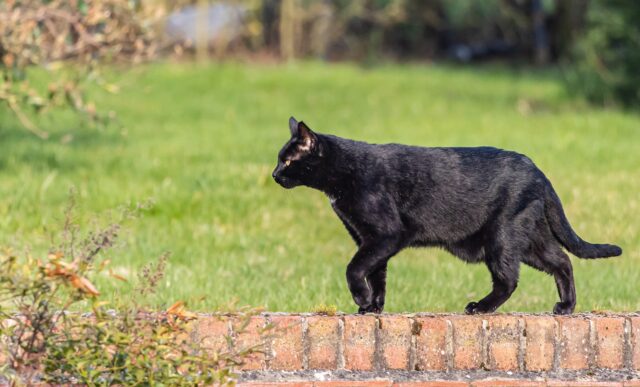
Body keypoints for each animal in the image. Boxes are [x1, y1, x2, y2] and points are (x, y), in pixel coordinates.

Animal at [272, 116, 624, 314]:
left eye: (288, 161)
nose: (274, 174)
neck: (344, 172)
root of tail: (539, 172)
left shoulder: (385, 234)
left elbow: (355, 269)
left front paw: (361, 299)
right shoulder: (369, 240)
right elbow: (377, 274)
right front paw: (372, 307)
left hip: (502, 237)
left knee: (509, 279)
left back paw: (480, 308)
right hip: (529, 240)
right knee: (562, 261)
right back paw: (566, 307)